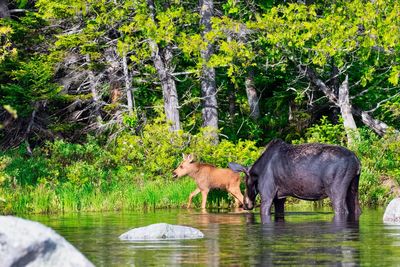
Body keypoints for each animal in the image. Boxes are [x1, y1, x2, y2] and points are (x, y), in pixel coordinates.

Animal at [228, 140, 362, 224]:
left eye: (245, 181)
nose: (245, 204)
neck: (258, 171)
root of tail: (357, 161)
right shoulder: (280, 198)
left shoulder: (267, 194)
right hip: (353, 187)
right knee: (357, 209)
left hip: (335, 189)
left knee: (342, 209)